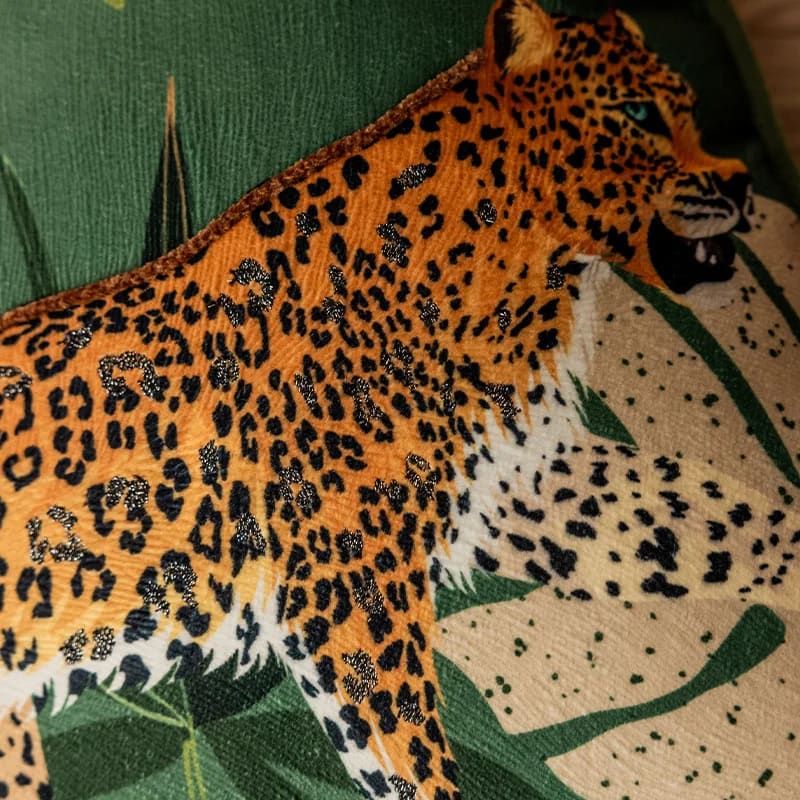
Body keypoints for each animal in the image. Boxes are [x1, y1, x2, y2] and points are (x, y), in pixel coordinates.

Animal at [0, 2, 794, 798]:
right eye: (638, 114)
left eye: (692, 112)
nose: (740, 183)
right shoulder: (349, 579)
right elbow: (406, 755)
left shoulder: (518, 482)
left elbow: (711, 523)